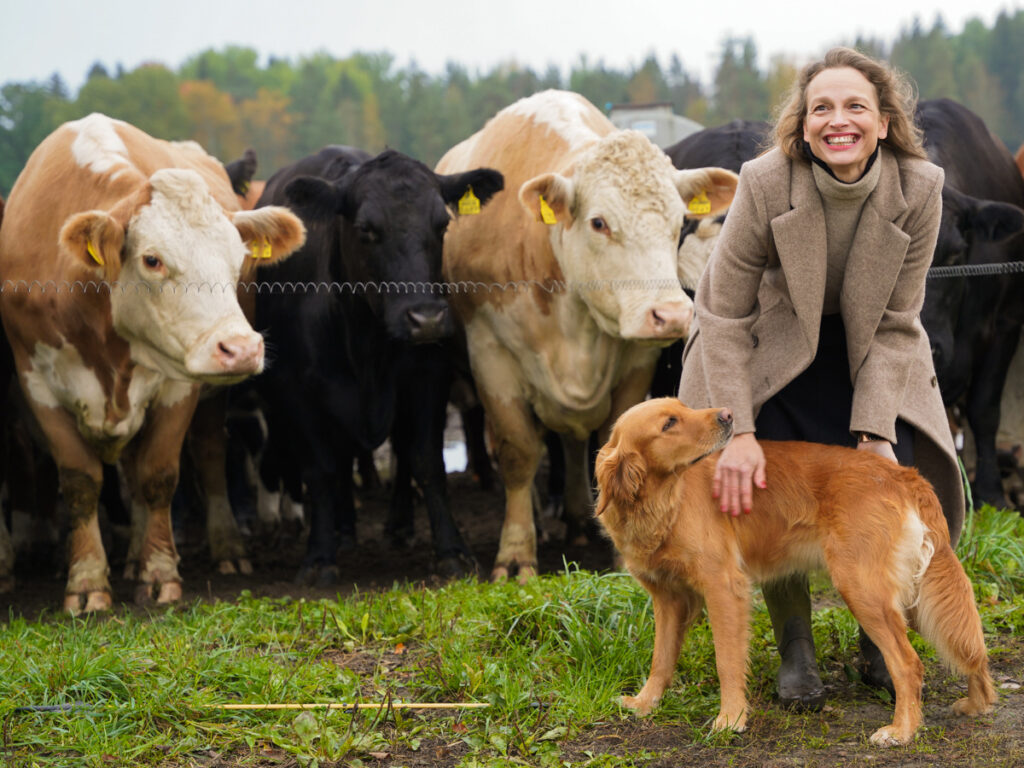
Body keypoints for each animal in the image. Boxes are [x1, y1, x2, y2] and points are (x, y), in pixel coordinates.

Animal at [0, 114, 303, 618]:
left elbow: (158, 476)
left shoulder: (179, 387)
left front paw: (160, 574)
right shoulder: (35, 384)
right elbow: (81, 481)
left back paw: (222, 548)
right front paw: (87, 582)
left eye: (239, 260)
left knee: (206, 456)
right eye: (152, 259)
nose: (241, 348)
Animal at [256, 148, 503, 581]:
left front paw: (452, 550)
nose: (426, 318)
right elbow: (320, 470)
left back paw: (399, 526)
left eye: (442, 224)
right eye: (366, 229)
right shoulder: (295, 392)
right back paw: (344, 533)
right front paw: (319, 557)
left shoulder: (427, 378)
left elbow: (426, 460)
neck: (365, 342)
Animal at [436, 90, 741, 581]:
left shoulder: (636, 362)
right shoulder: (490, 353)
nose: (672, 314)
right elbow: (519, 452)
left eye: (678, 223)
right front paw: (516, 554)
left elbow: (611, 440)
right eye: (599, 222)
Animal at [598, 399, 995, 749]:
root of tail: (901, 474)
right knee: (970, 644)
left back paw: (902, 730)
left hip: (864, 590)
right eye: (669, 422)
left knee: (909, 664)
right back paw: (976, 704)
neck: (662, 501)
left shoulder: (723, 587)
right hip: (909, 593)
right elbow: (661, 659)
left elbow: (727, 661)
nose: (728, 414)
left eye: (682, 408)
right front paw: (645, 703)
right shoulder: (668, 600)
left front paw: (730, 719)